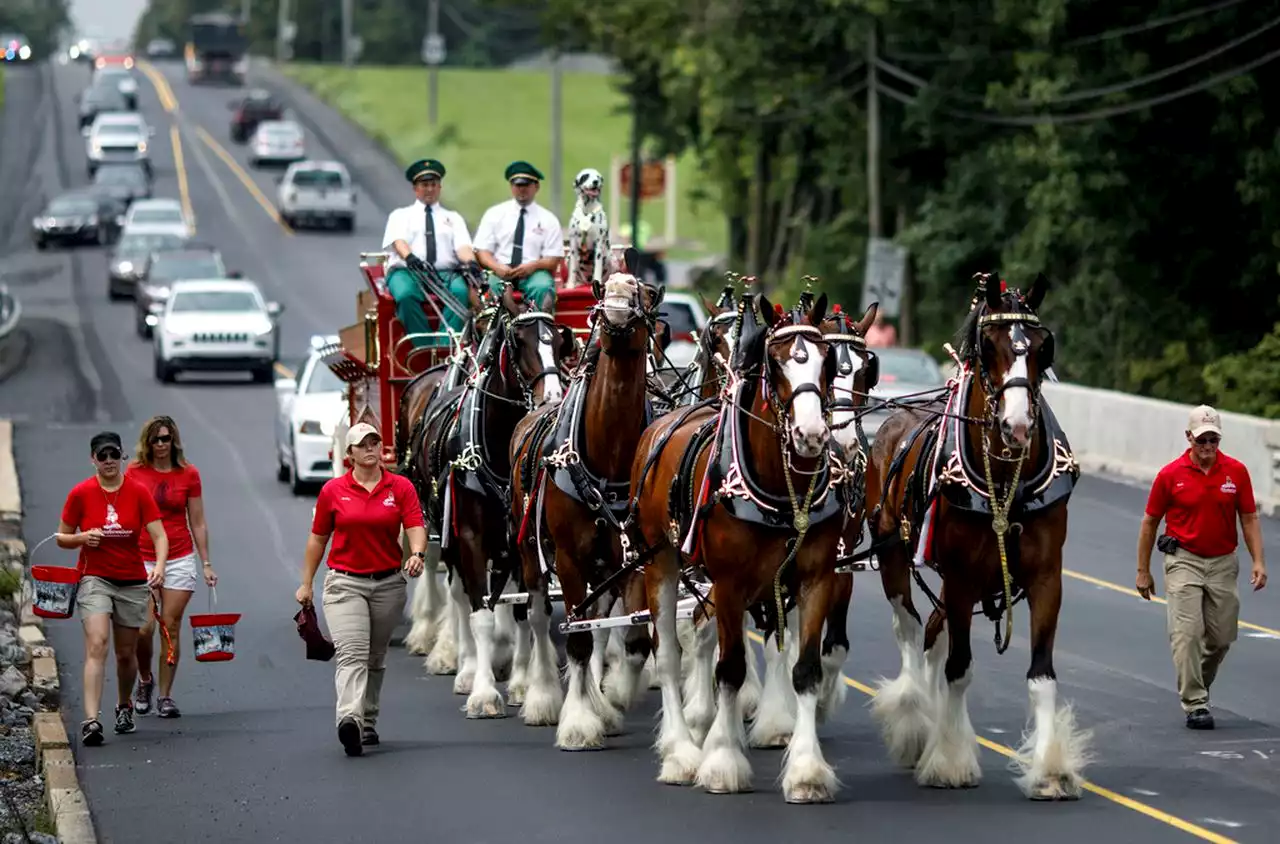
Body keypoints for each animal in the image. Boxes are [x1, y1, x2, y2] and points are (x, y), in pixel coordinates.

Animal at [860, 270, 1090, 799]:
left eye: (1043, 346)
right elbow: (959, 669)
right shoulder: (963, 578)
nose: (1018, 425)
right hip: (894, 556)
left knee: (932, 630)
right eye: (989, 346)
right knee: (910, 629)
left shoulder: (1047, 578)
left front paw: (1050, 769)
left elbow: (1042, 673)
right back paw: (915, 724)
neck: (1005, 482)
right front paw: (948, 761)